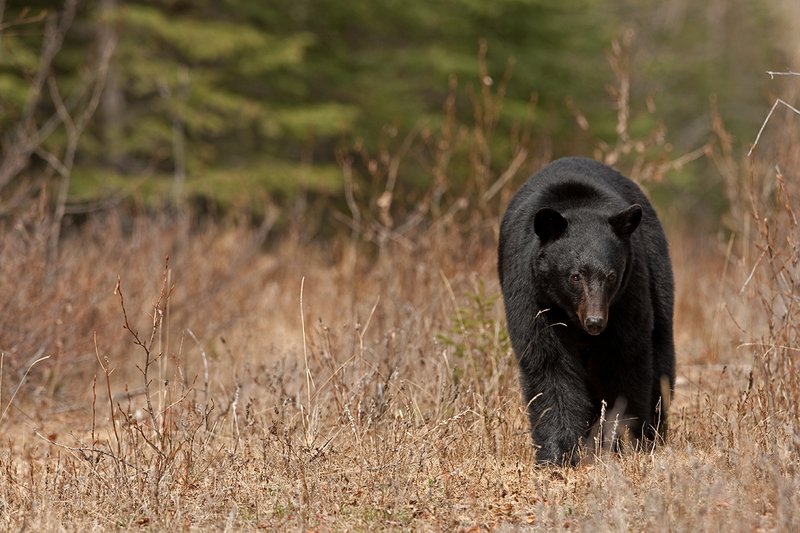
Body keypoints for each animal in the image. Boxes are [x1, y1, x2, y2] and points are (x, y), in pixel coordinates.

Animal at [497, 156, 675, 465]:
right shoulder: (533, 294)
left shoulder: (628, 294)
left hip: (657, 272)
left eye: (611, 276)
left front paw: (622, 441)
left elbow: (625, 361)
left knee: (661, 354)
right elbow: (549, 364)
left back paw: (653, 432)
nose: (595, 322)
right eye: (575, 276)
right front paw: (558, 452)